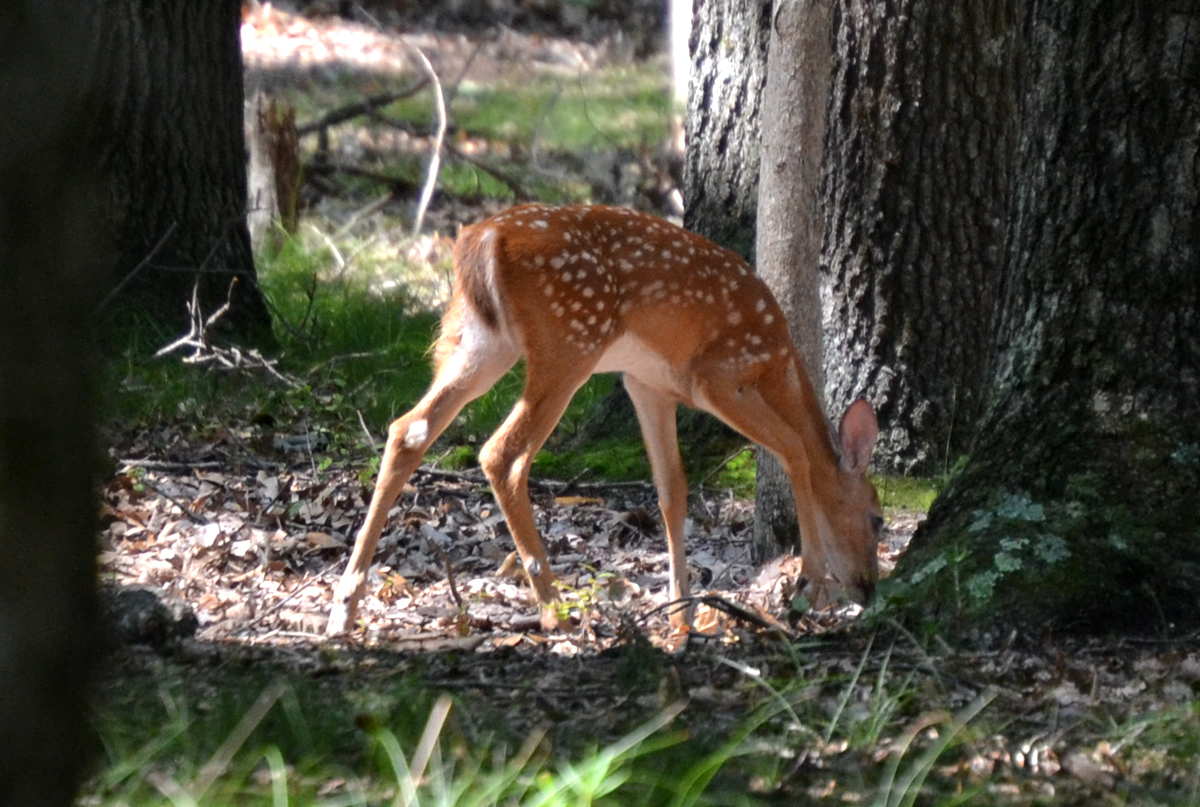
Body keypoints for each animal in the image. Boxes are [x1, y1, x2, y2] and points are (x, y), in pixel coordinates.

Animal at [327, 204, 882, 635]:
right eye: (876, 517)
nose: (869, 588)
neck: (779, 363)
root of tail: (482, 238)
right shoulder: (719, 375)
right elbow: (795, 450)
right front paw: (806, 587)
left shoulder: (649, 384)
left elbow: (672, 488)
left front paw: (681, 614)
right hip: (569, 340)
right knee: (502, 453)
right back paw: (555, 609)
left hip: (479, 341)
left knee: (409, 429)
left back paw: (343, 608)